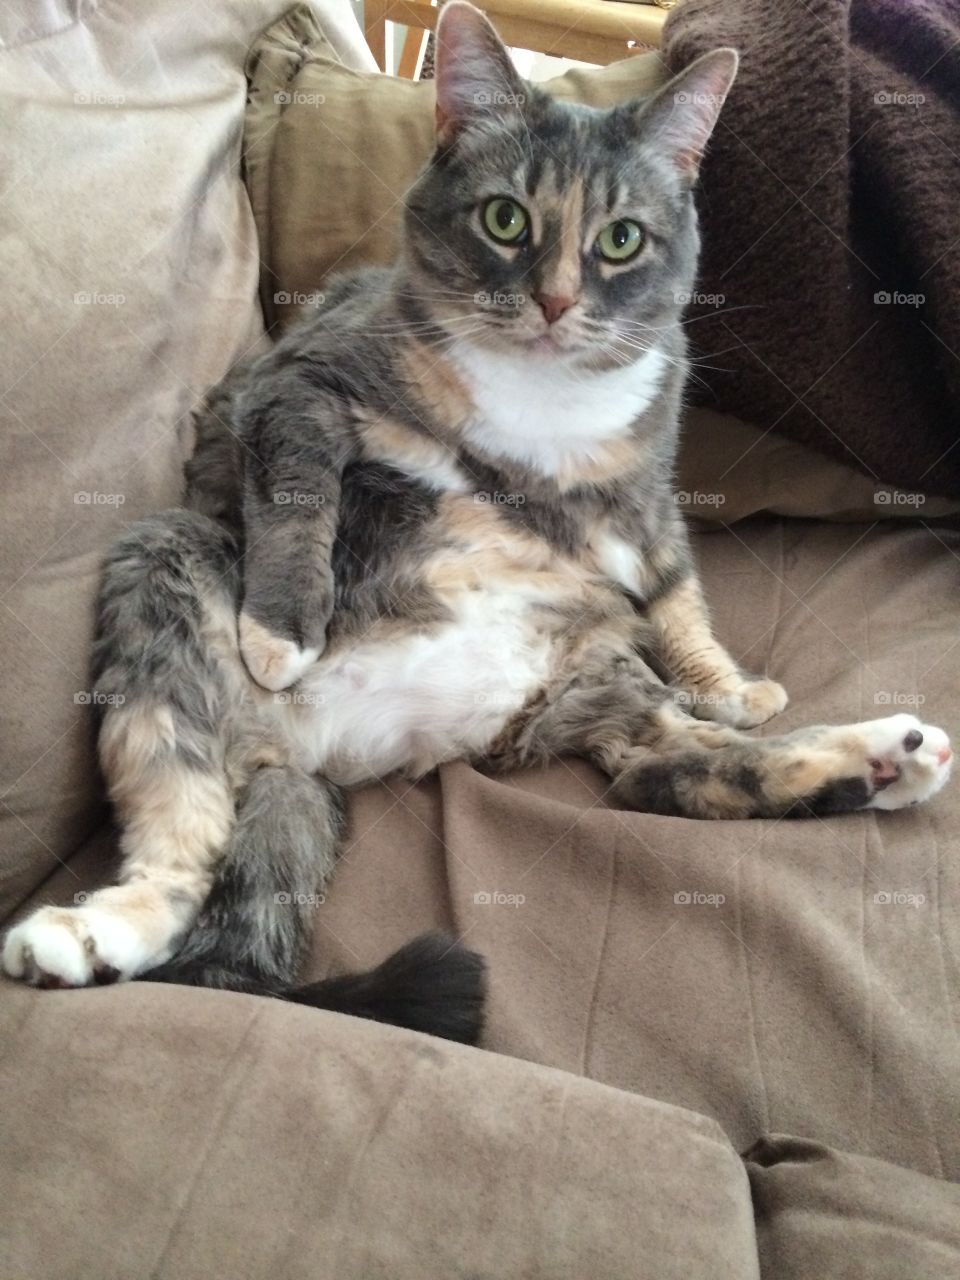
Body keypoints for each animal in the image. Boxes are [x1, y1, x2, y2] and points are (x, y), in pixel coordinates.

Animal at [1, 2, 957, 1039]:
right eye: (507, 220)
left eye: (623, 239)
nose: (556, 300)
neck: (539, 405)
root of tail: (307, 756)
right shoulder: (296, 384)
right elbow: (299, 495)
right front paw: (283, 633)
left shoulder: (646, 486)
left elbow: (675, 589)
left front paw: (725, 683)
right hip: (165, 565)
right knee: (182, 825)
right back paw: (94, 931)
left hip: (596, 674)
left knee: (671, 771)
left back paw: (881, 759)